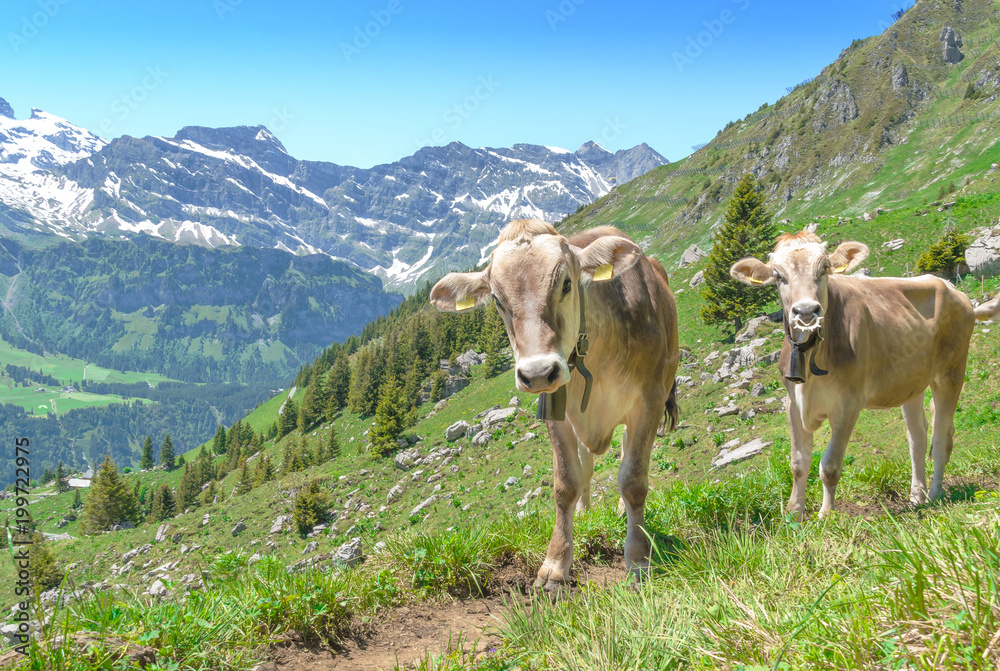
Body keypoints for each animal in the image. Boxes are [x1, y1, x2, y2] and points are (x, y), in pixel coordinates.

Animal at [430, 220, 680, 588]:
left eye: (566, 283)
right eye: (497, 300)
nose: (536, 372)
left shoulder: (648, 400)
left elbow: (633, 480)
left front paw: (638, 559)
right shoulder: (554, 407)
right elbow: (566, 483)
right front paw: (556, 565)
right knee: (586, 463)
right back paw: (586, 511)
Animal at [732, 231, 996, 520]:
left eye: (824, 268)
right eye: (778, 276)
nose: (806, 311)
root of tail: (954, 289)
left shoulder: (849, 404)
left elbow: (830, 466)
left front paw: (826, 515)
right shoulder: (792, 402)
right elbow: (799, 463)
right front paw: (794, 515)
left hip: (951, 372)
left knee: (940, 438)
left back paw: (936, 494)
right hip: (912, 382)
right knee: (917, 438)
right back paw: (917, 497)